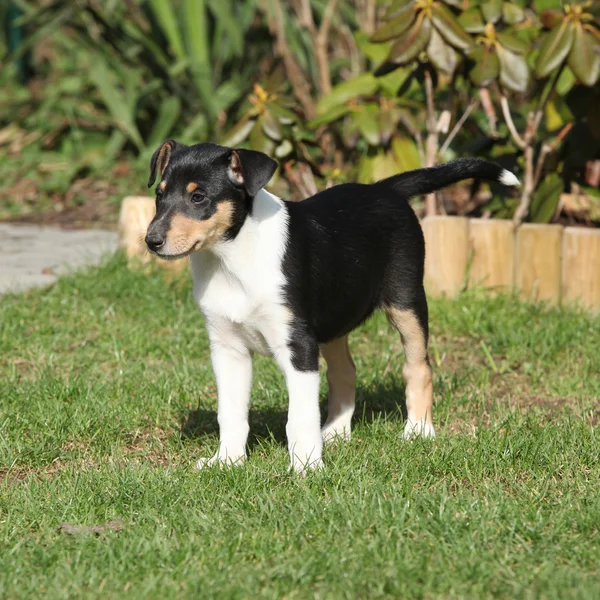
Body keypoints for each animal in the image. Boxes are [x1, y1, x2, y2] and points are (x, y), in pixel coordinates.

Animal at [146, 142, 520, 474]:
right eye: (159, 195)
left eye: (198, 197)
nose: (151, 241)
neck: (231, 259)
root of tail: (383, 188)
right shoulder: (227, 349)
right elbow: (231, 412)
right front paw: (227, 462)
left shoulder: (298, 345)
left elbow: (299, 417)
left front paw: (307, 468)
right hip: (333, 316)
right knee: (345, 371)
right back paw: (338, 432)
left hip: (406, 300)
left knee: (418, 366)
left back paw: (418, 431)